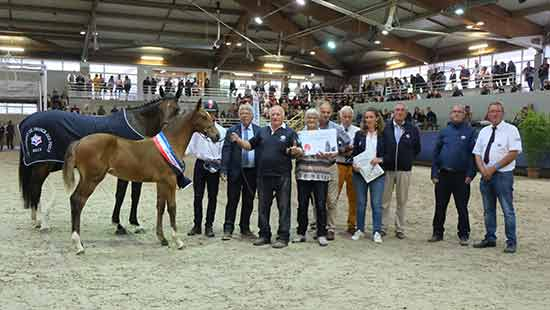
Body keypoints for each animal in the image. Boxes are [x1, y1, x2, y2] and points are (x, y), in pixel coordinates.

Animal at [62, 99, 220, 254]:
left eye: (211, 117)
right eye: (203, 117)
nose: (217, 136)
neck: (170, 143)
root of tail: (79, 142)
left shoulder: (161, 182)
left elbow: (160, 206)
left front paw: (162, 238)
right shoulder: (170, 181)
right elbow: (172, 207)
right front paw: (178, 241)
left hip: (86, 179)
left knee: (74, 200)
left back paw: (79, 242)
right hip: (92, 179)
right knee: (78, 201)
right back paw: (78, 244)